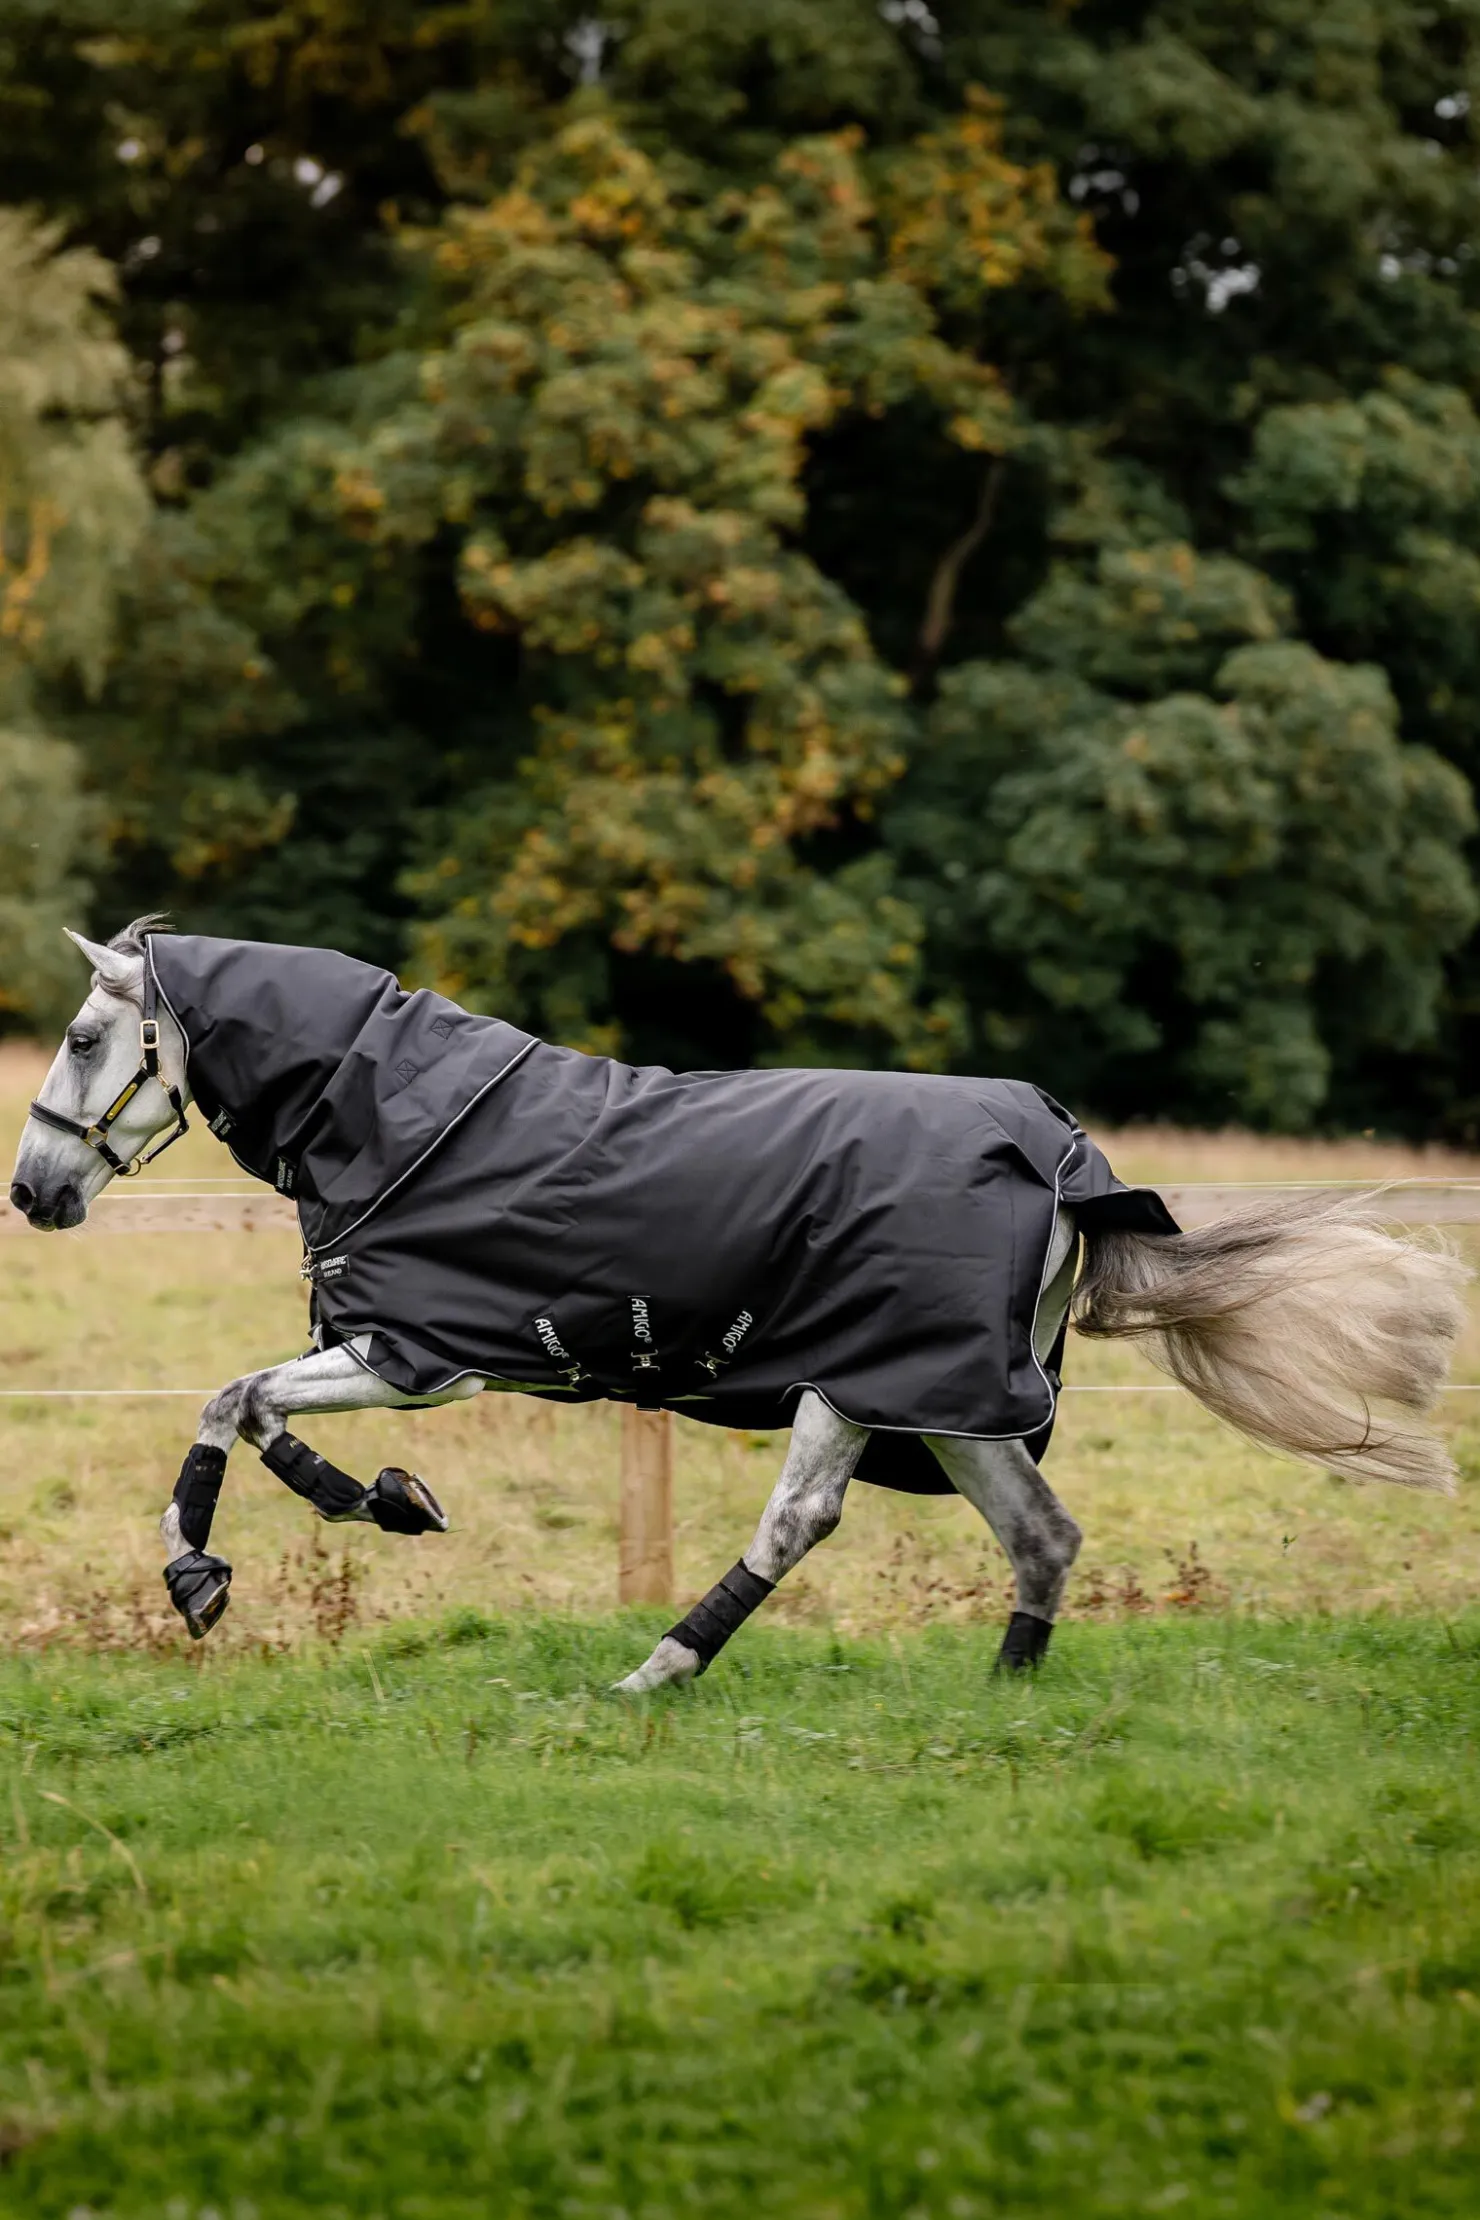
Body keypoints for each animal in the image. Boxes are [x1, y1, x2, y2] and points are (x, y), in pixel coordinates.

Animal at [9, 920, 1469, 1688]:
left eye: (83, 1039)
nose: (32, 1193)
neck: (401, 1112)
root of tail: (1068, 1163)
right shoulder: (400, 1353)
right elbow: (256, 1410)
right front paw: (384, 1502)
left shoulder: (420, 1353)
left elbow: (231, 1400)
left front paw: (203, 1576)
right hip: (946, 1405)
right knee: (1044, 1536)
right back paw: (1007, 1691)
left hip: (861, 1383)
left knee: (798, 1520)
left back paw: (657, 1671)